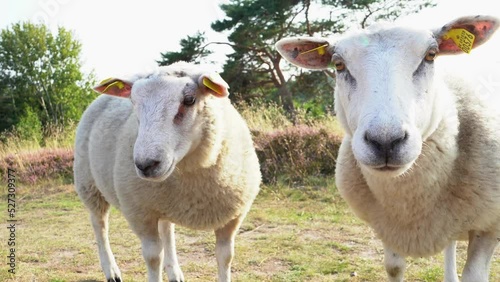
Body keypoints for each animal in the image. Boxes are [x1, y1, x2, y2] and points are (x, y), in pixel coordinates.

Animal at [75, 61, 262, 282]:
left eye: (189, 100)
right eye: (133, 102)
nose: (146, 164)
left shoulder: (233, 216)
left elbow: (225, 256)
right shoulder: (140, 213)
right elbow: (153, 257)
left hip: (163, 201)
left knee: (167, 229)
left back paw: (174, 271)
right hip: (88, 184)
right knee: (100, 225)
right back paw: (111, 270)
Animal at [278, 16, 500, 282]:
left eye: (431, 55)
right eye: (339, 65)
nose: (385, 141)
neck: (411, 207)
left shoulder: (488, 227)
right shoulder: (387, 226)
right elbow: (393, 267)